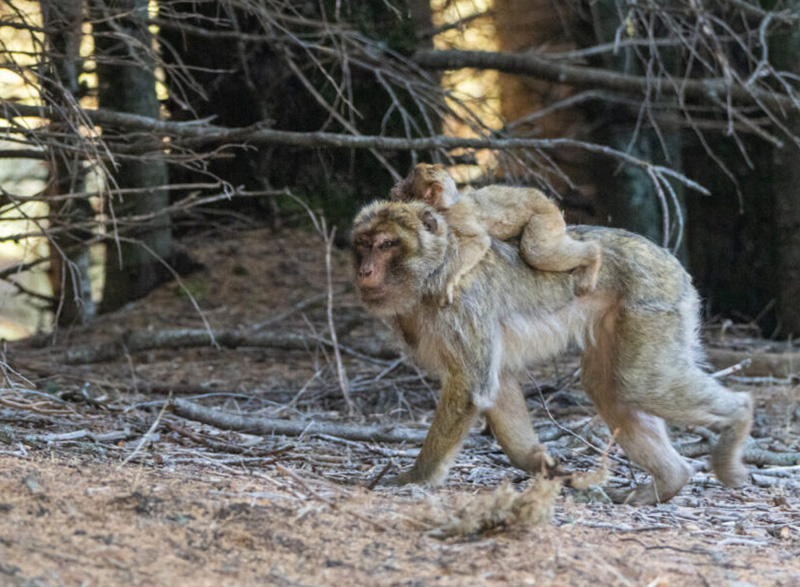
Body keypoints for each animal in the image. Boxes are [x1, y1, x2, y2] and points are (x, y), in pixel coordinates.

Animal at [351, 200, 753, 505]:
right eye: (365, 243)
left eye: (387, 244)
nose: (364, 270)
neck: (433, 274)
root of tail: (667, 257)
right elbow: (498, 382)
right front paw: (538, 463)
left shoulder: (460, 303)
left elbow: (470, 386)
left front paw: (418, 476)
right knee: (610, 388)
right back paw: (670, 480)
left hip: (653, 301)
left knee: (639, 383)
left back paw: (738, 417)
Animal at [389, 163, 602, 303]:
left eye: (409, 180)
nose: (396, 184)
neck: (445, 205)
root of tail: (548, 201)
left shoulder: (456, 217)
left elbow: (478, 241)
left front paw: (448, 281)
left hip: (544, 217)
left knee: (536, 252)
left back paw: (593, 255)